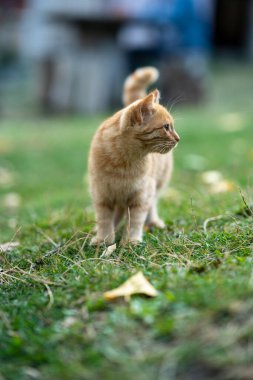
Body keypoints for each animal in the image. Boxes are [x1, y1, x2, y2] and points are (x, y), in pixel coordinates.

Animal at [88, 66, 180, 245]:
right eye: (166, 127)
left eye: (171, 126)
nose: (178, 139)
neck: (122, 161)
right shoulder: (101, 194)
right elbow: (104, 219)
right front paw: (104, 239)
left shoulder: (141, 195)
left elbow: (135, 220)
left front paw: (130, 241)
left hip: (158, 184)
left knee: (152, 205)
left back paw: (153, 222)